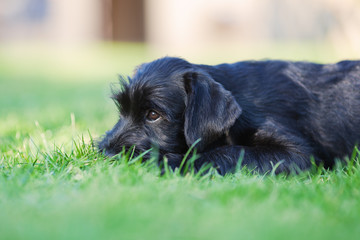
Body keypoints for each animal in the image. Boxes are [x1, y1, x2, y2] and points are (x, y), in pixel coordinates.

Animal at [98, 57, 360, 175]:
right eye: (122, 110)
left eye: (153, 115)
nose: (106, 153)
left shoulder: (297, 154)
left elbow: (233, 151)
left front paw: (172, 163)